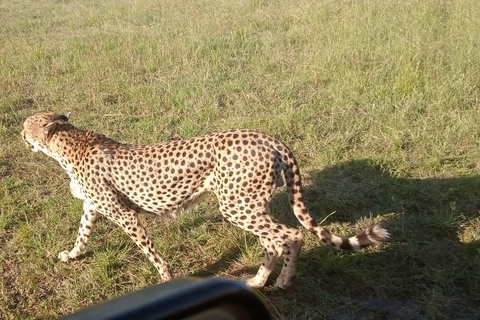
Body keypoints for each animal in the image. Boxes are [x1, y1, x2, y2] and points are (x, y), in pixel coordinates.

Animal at [22, 113, 388, 290]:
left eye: (27, 125)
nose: (20, 133)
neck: (68, 143)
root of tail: (269, 138)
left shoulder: (124, 215)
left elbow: (150, 252)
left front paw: (165, 280)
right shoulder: (93, 208)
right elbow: (82, 235)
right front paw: (71, 256)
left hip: (237, 206)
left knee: (292, 234)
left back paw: (283, 282)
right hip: (251, 205)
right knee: (272, 241)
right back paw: (258, 281)